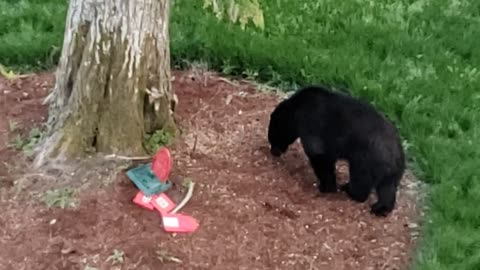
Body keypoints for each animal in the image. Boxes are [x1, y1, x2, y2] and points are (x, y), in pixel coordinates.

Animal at [268, 85, 406, 216]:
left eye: (273, 135)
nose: (273, 151)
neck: (296, 110)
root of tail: (396, 154)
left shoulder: (310, 123)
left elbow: (318, 155)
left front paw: (326, 187)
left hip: (367, 159)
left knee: (361, 180)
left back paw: (349, 190)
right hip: (389, 171)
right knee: (387, 189)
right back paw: (381, 208)